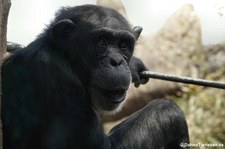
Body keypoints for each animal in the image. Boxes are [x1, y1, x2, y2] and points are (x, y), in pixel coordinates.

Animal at [0, 4, 189, 149]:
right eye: (102, 42)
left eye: (123, 45)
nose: (117, 61)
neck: (67, 59)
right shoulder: (58, 79)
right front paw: (172, 112)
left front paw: (134, 64)